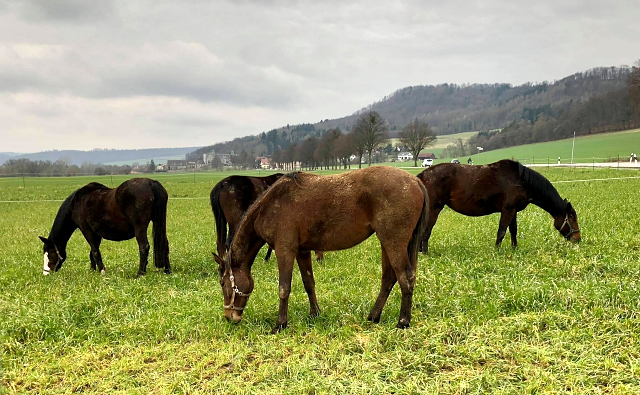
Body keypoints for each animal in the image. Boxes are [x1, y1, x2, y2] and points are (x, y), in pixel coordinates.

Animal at [39, 178, 170, 276]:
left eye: (50, 253)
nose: (46, 273)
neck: (76, 203)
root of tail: (151, 183)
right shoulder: (96, 232)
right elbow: (92, 252)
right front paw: (93, 270)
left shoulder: (86, 229)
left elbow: (95, 251)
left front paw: (102, 271)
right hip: (160, 223)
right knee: (165, 244)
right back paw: (167, 270)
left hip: (140, 228)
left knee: (144, 247)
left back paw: (140, 273)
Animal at [212, 167, 428, 334]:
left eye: (223, 283)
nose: (229, 316)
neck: (269, 206)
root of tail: (415, 181)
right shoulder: (302, 252)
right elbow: (309, 283)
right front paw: (314, 314)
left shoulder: (285, 251)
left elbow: (284, 288)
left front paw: (280, 324)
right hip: (387, 243)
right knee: (389, 278)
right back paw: (373, 316)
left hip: (394, 242)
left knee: (405, 277)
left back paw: (403, 322)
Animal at [418, 159, 584, 254]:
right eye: (572, 218)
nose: (578, 239)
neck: (521, 180)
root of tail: (422, 176)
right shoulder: (507, 210)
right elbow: (502, 231)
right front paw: (497, 251)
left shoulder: (513, 211)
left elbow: (513, 230)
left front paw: (515, 249)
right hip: (434, 209)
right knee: (426, 231)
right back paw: (424, 253)